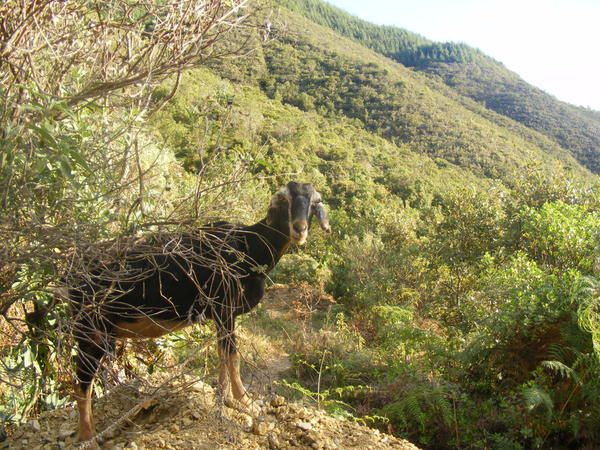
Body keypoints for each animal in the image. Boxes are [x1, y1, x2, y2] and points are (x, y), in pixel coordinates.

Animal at [68, 182, 330, 442]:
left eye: (312, 204)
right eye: (285, 201)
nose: (299, 230)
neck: (248, 247)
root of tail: (70, 273)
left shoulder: (223, 315)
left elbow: (222, 353)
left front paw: (225, 399)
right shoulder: (224, 308)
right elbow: (233, 355)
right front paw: (245, 401)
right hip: (91, 329)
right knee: (82, 382)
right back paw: (88, 436)